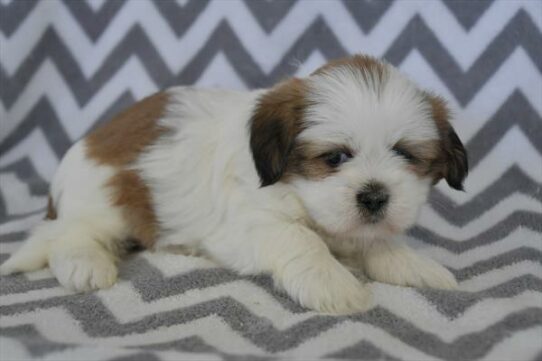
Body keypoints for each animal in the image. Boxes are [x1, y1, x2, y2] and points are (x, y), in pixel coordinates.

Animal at [0, 54, 468, 314]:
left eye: (406, 155)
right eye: (334, 158)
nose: (374, 197)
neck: (294, 190)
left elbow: (376, 240)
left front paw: (410, 264)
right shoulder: (243, 225)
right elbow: (301, 239)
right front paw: (333, 284)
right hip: (104, 202)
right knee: (67, 236)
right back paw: (86, 264)